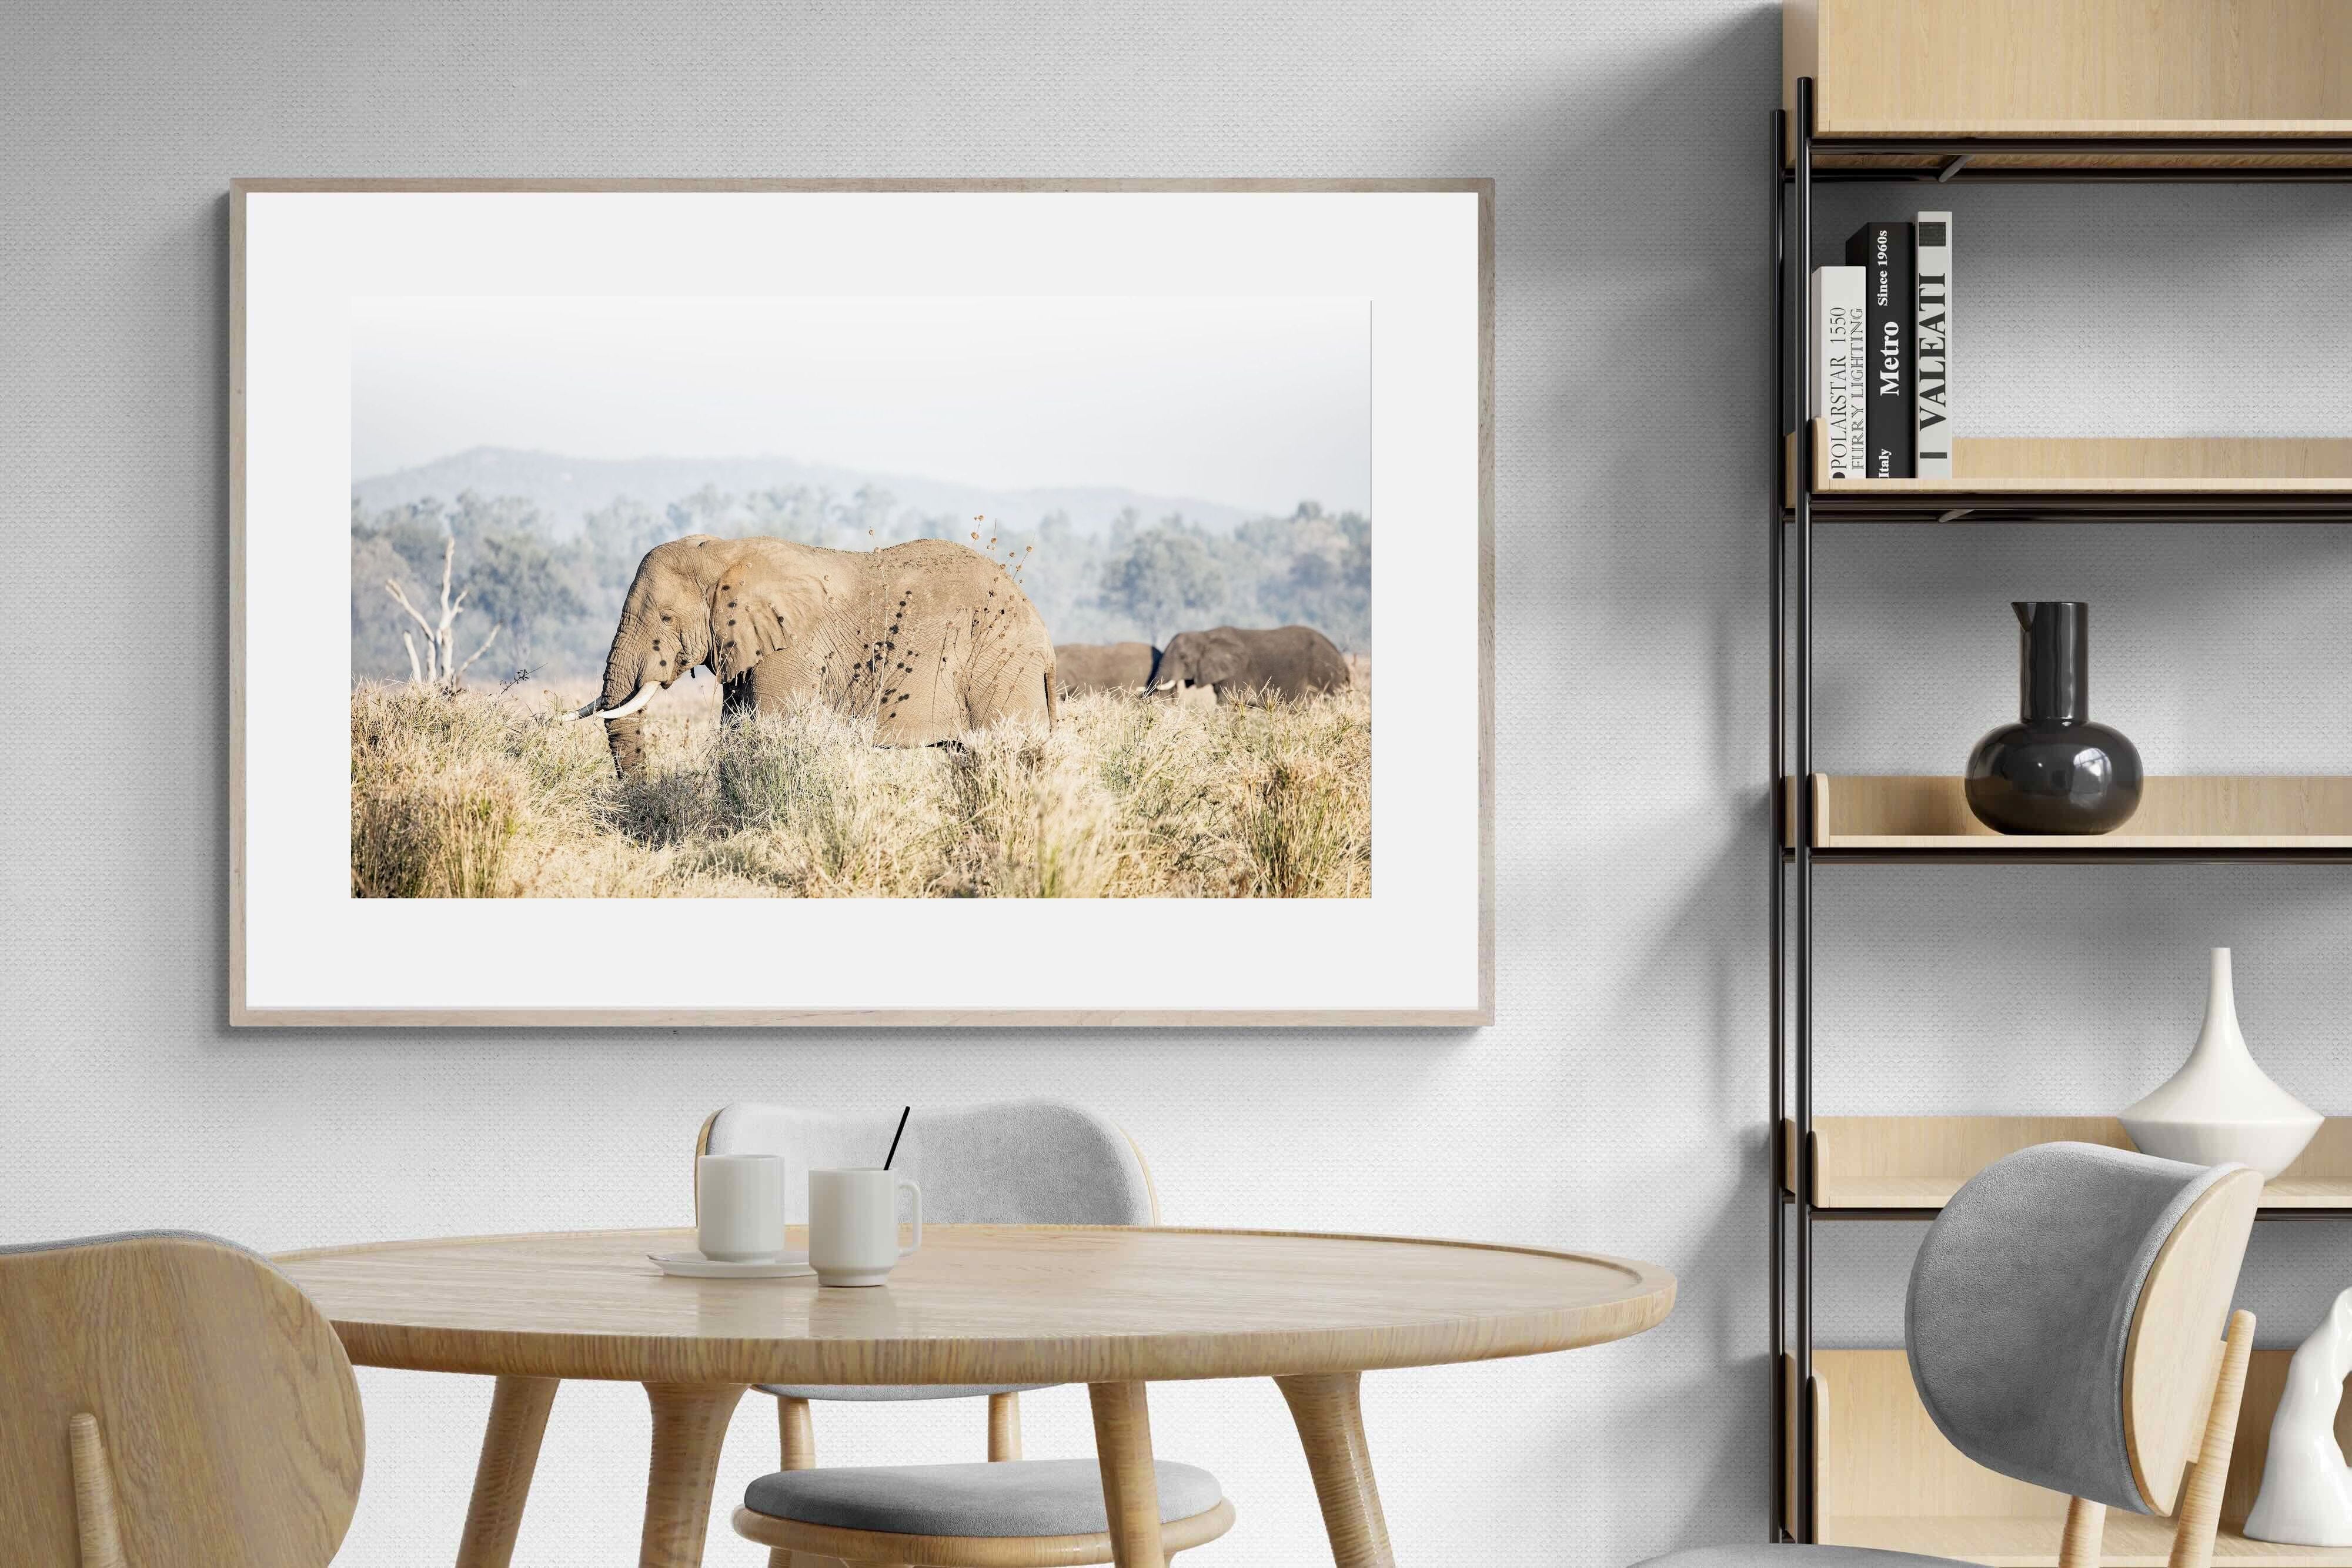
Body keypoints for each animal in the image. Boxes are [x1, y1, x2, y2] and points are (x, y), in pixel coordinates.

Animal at [569, 534, 1056, 778]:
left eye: (666, 618)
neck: (727, 550)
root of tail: (1044, 638)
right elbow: (736, 732)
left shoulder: (792, 649)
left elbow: (769, 731)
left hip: (1000, 668)